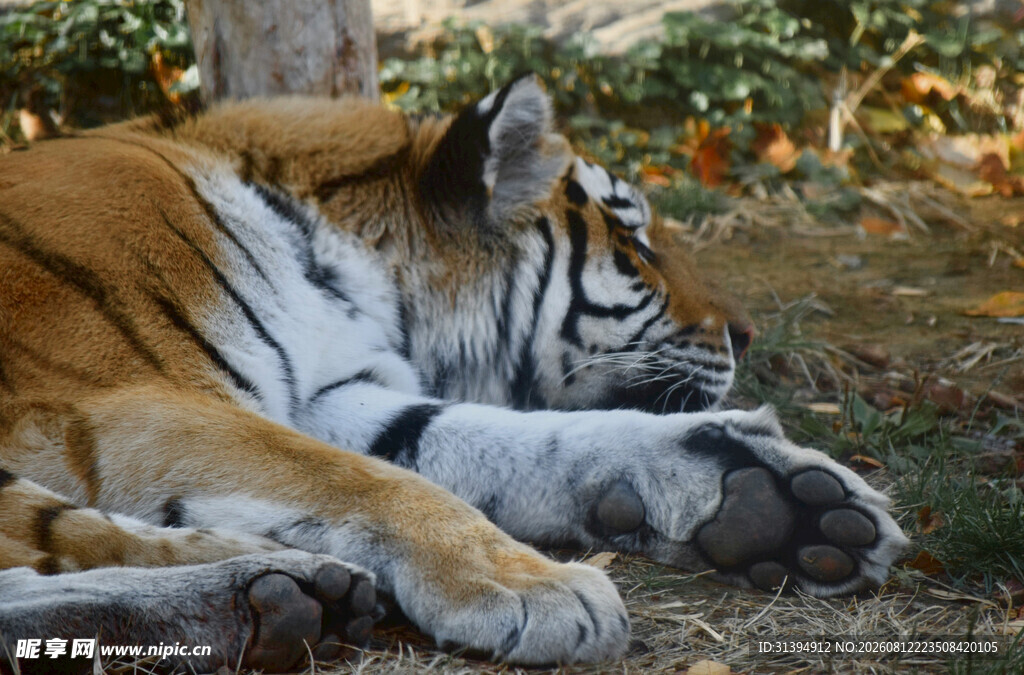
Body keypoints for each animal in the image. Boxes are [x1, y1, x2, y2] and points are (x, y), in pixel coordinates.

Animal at [0, 74, 908, 672]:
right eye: (637, 244)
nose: (747, 334)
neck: (351, 264)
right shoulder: (117, 395)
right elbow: (372, 482)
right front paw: (534, 584)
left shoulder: (331, 391)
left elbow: (496, 440)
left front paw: (767, 494)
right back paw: (274, 589)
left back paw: (283, 591)